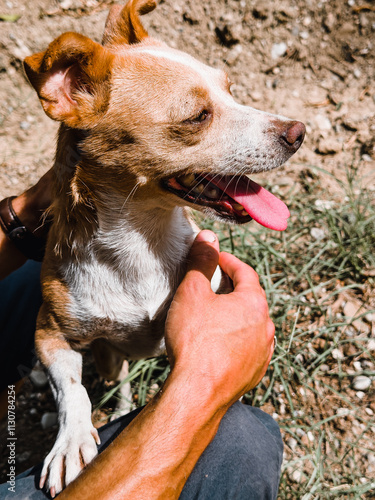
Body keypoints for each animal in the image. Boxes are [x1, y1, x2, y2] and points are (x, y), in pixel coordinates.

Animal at [22, 0, 306, 492]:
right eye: (197, 116)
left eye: (231, 90)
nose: (298, 131)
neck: (142, 239)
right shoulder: (50, 331)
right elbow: (71, 390)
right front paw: (71, 441)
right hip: (107, 359)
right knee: (117, 382)